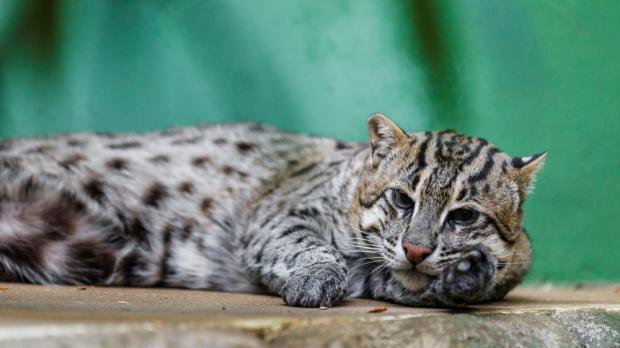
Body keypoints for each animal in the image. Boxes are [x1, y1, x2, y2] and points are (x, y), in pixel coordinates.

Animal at [0, 115, 544, 308]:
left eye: (463, 216)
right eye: (401, 199)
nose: (415, 249)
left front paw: (467, 276)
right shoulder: (279, 213)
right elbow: (305, 246)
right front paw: (314, 280)